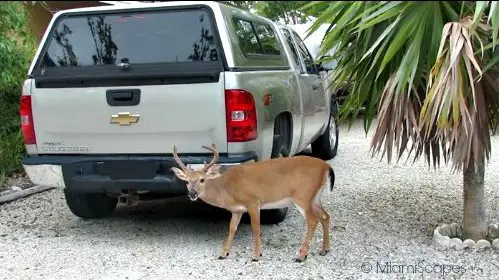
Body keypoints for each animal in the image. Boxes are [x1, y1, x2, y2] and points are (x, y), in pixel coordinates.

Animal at [171, 143, 336, 264]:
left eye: (202, 179)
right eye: (187, 181)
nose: (192, 194)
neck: (226, 189)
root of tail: (326, 167)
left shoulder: (253, 202)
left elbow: (255, 229)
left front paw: (256, 256)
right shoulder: (237, 210)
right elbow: (232, 228)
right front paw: (224, 254)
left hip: (303, 195)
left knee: (313, 220)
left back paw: (301, 255)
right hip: (314, 197)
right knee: (325, 216)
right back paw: (324, 250)